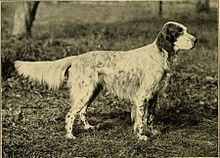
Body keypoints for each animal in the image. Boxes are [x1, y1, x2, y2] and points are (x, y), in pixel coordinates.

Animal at [14, 21, 197, 141]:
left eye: (186, 30)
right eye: (179, 32)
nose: (196, 40)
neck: (159, 54)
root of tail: (76, 58)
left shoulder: (154, 95)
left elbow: (150, 117)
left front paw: (152, 132)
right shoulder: (142, 97)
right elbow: (140, 120)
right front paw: (141, 136)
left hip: (92, 91)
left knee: (81, 112)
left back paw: (88, 128)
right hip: (85, 91)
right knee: (70, 114)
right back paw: (70, 135)